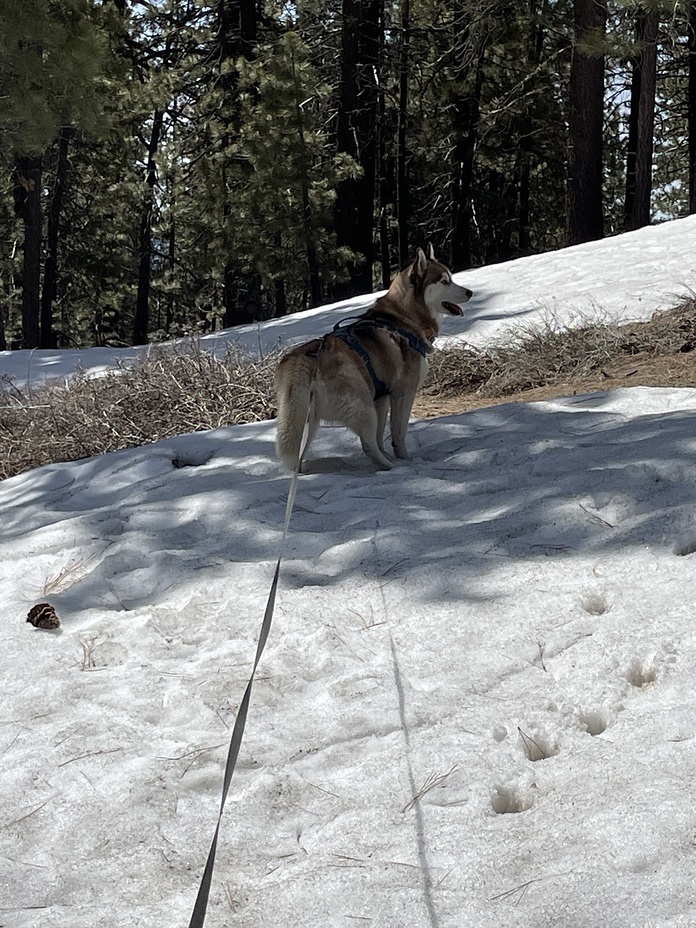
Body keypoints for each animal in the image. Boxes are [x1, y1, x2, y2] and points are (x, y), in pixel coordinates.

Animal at [274, 246, 470, 472]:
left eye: (451, 278)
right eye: (444, 281)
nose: (469, 292)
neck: (404, 318)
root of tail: (306, 358)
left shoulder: (381, 398)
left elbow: (380, 435)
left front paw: (391, 455)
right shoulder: (402, 394)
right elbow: (398, 434)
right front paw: (403, 459)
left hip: (309, 420)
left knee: (299, 458)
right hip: (362, 406)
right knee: (367, 446)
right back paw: (391, 467)